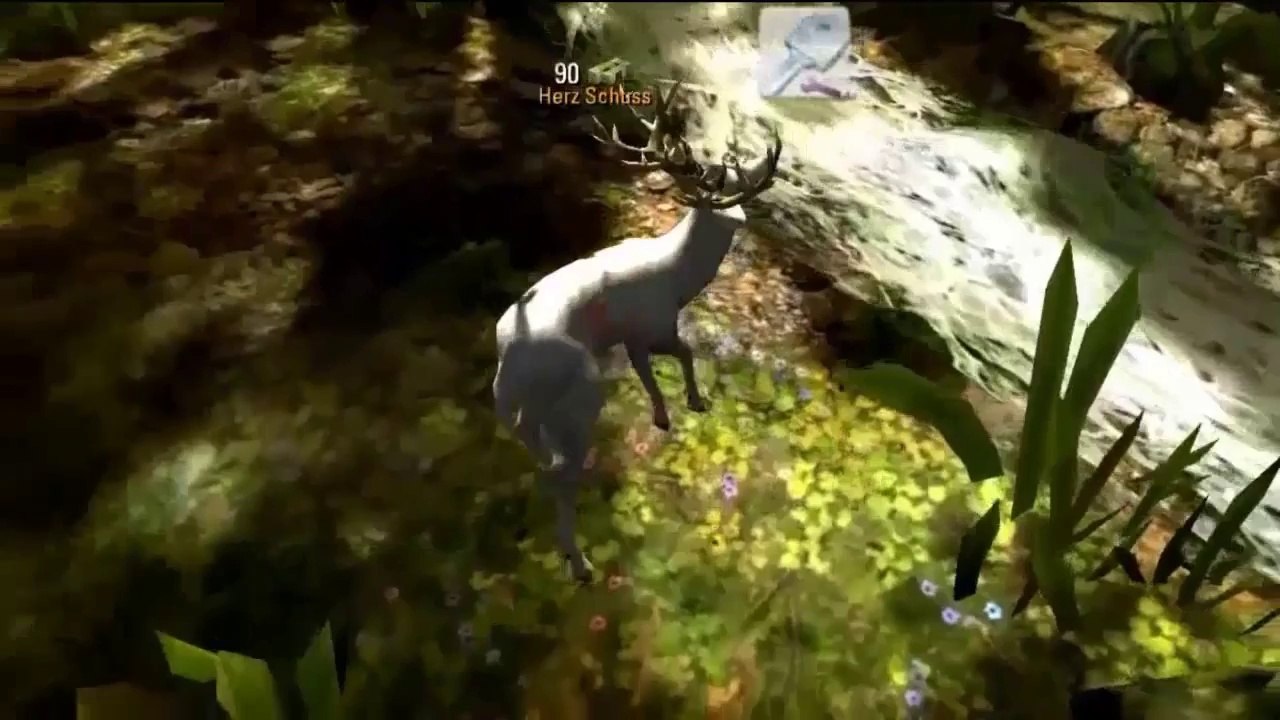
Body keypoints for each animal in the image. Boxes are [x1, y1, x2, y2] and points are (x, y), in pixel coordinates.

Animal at [491, 83, 783, 583]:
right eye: (725, 196)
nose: (746, 222)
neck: (678, 277)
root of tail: (511, 362)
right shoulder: (653, 324)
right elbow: (685, 351)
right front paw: (694, 402)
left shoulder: (632, 337)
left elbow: (652, 371)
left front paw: (665, 415)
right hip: (577, 396)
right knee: (562, 473)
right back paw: (581, 564)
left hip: (527, 412)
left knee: (542, 459)